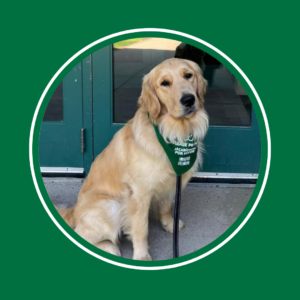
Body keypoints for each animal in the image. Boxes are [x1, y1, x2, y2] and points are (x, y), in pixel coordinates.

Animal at [56, 58, 209, 260]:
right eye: (164, 83)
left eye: (188, 75)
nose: (189, 99)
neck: (174, 133)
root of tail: (74, 210)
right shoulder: (138, 193)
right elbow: (141, 228)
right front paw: (142, 257)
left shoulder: (169, 182)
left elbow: (166, 206)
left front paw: (170, 224)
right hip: (110, 205)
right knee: (82, 233)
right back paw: (108, 248)